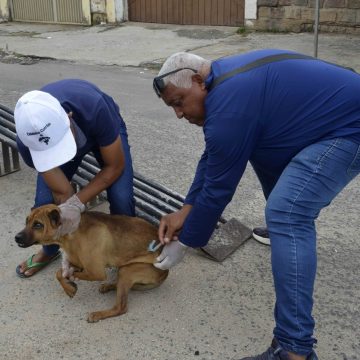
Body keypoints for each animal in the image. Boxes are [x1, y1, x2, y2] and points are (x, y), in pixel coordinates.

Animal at [14, 204, 169, 322]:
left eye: (38, 225)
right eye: (26, 221)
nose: (16, 238)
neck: (70, 233)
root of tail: (165, 273)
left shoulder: (96, 272)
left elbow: (71, 274)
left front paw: (70, 284)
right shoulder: (77, 263)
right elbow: (58, 273)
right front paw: (69, 288)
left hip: (128, 270)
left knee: (121, 307)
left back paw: (98, 314)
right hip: (124, 270)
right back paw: (109, 286)